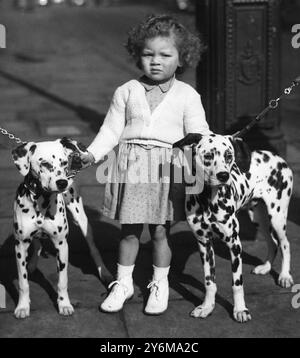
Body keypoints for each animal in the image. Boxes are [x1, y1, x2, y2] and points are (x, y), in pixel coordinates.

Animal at [11, 137, 112, 318]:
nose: (62, 182)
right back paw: (32, 264)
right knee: (37, 244)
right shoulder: (20, 246)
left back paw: (104, 272)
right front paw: (22, 306)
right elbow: (23, 283)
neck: (41, 201)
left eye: (64, 162)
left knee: (93, 249)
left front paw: (64, 304)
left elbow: (62, 281)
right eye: (44, 163)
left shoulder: (62, 245)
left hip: (82, 220)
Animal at [173, 133, 292, 324]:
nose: (223, 175)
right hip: (257, 218)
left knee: (285, 243)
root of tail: (278, 158)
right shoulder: (204, 245)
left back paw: (285, 276)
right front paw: (206, 307)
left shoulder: (235, 245)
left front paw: (240, 310)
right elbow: (209, 282)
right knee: (272, 242)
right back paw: (265, 267)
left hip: (277, 217)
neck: (208, 200)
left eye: (229, 156)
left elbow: (237, 284)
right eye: (208, 156)